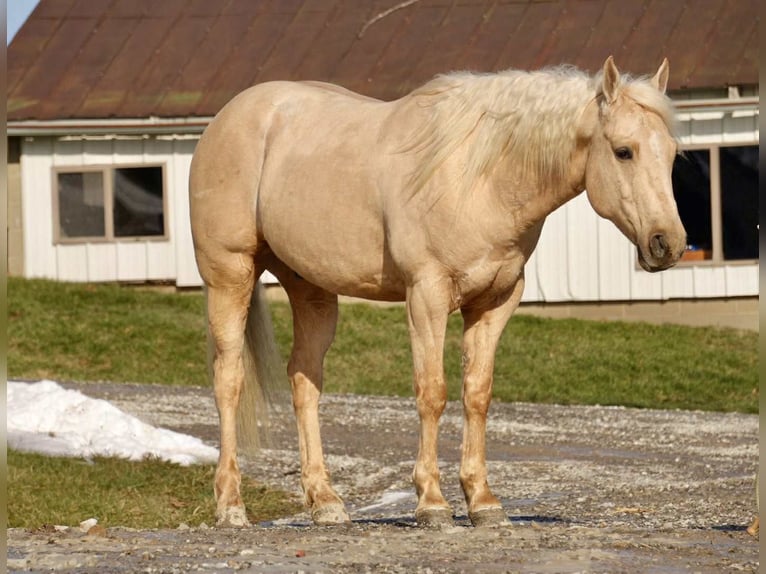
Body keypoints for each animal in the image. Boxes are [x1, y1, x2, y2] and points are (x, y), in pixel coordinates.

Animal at [189, 56, 686, 528]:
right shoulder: (426, 296)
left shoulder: (495, 302)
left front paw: (482, 501)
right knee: (229, 380)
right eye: (624, 151)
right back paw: (231, 506)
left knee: (304, 382)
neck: (479, 178)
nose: (669, 244)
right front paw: (431, 502)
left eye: (672, 155)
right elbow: (433, 393)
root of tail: (227, 119)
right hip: (230, 276)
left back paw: (325, 503)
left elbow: (477, 394)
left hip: (310, 289)